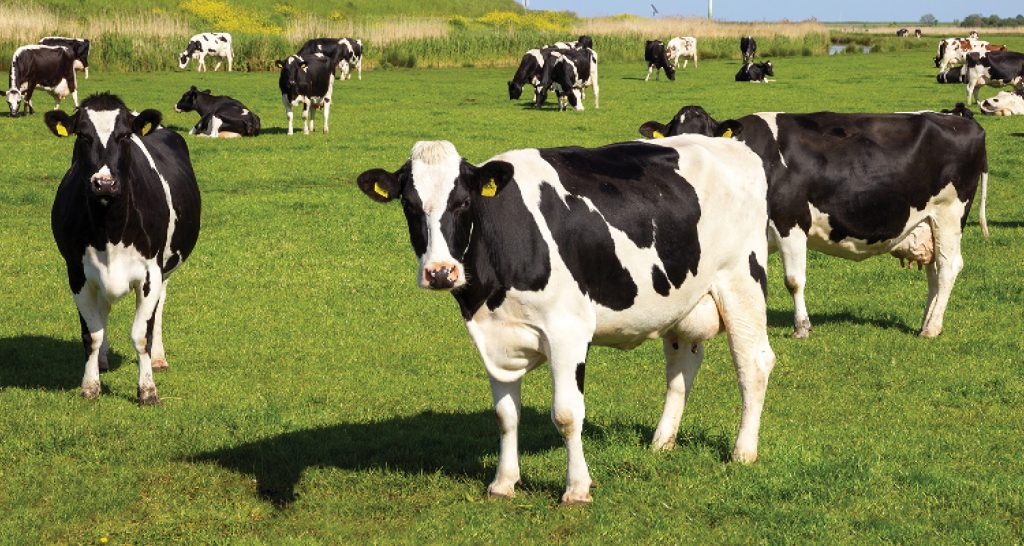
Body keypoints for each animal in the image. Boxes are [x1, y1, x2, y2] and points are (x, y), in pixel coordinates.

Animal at [43, 92, 201, 404]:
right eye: (82, 135)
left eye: (125, 135)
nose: (104, 183)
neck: (110, 230)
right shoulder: (77, 273)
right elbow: (91, 334)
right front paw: (90, 385)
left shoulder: (151, 273)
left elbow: (141, 335)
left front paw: (148, 390)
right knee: (102, 312)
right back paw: (103, 361)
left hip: (165, 269)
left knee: (159, 309)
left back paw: (158, 358)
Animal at [355, 137, 775, 504]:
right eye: (410, 205)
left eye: (462, 202)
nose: (441, 272)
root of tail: (731, 144)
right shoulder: (494, 336)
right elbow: (505, 414)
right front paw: (503, 483)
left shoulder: (567, 331)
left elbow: (568, 414)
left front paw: (577, 489)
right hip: (681, 302)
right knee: (682, 366)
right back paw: (661, 442)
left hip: (742, 279)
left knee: (753, 363)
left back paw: (743, 451)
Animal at [638, 105, 989, 339]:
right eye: (671, 137)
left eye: (707, 138)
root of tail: (958, 118)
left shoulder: (791, 220)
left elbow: (794, 280)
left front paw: (801, 327)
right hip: (927, 221)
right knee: (934, 271)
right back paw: (927, 321)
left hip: (950, 212)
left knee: (948, 266)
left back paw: (931, 328)